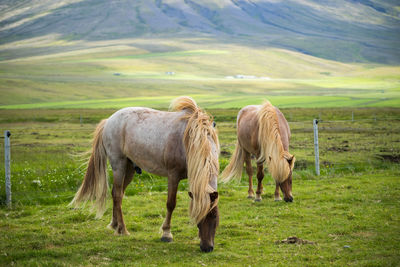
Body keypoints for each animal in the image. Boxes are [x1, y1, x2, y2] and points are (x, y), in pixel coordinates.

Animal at [68, 97, 219, 253]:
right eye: (199, 218)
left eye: (214, 216)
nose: (207, 247)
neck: (190, 139)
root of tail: (109, 120)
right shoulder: (173, 176)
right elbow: (171, 204)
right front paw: (166, 234)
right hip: (119, 165)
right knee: (117, 194)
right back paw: (122, 229)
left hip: (129, 168)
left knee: (117, 194)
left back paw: (115, 225)